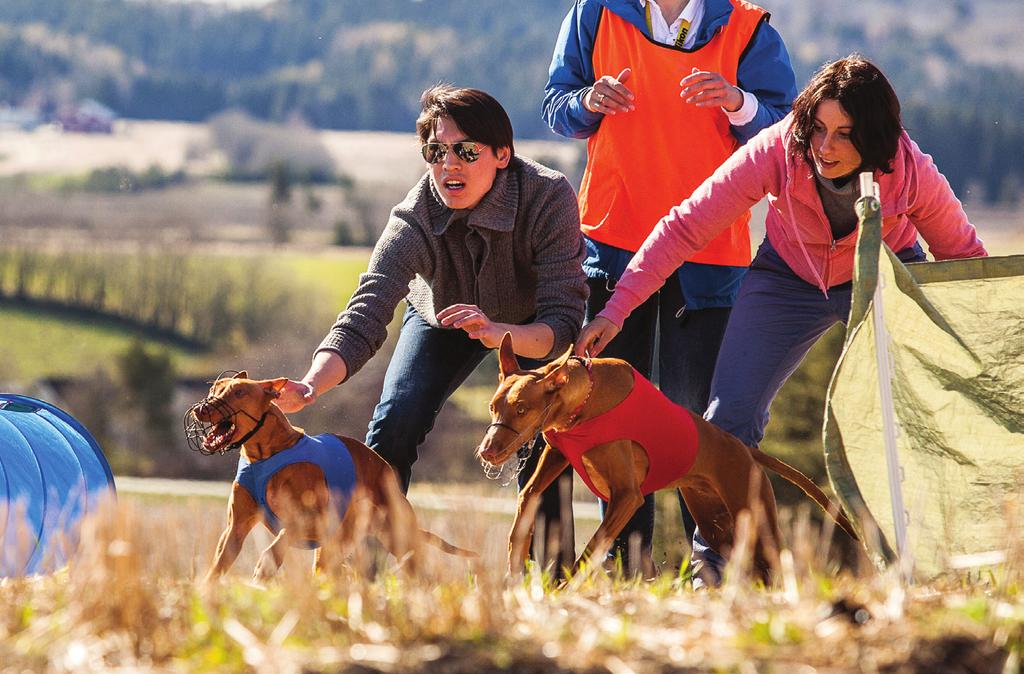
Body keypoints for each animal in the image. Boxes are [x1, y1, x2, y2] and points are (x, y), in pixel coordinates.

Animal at [185, 370, 475, 581]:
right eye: (214, 389)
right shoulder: (235, 528)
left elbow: (281, 538)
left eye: (239, 392)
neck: (265, 455)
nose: (201, 409)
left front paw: (265, 566)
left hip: (400, 540)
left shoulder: (309, 520)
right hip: (333, 551)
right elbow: (218, 565)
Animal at [479, 333, 856, 581]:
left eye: (522, 409)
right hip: (717, 524)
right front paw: (515, 554)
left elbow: (594, 545)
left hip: (757, 516)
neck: (586, 397)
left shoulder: (627, 496)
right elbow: (528, 495)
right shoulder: (558, 452)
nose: (487, 450)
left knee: (776, 560)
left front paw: (568, 583)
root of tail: (743, 448)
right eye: (494, 406)